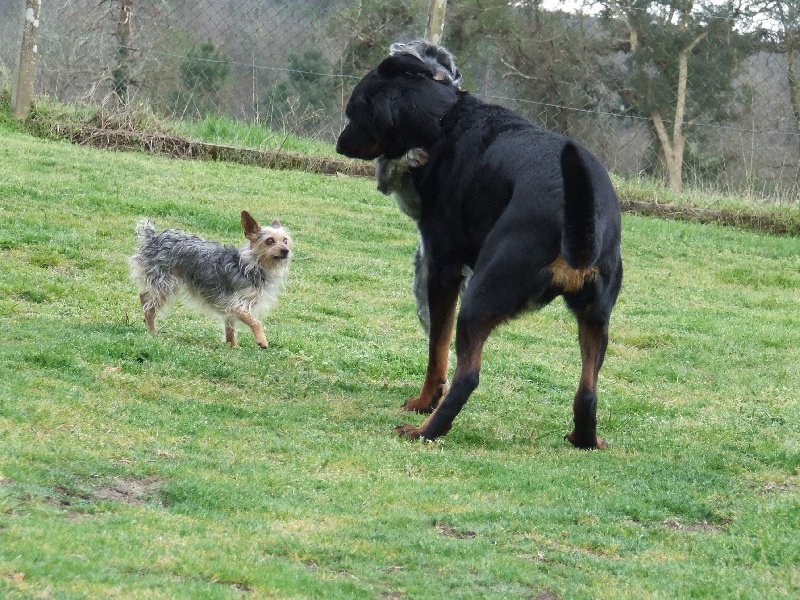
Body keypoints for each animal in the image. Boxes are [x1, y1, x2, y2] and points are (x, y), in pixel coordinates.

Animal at [130, 213, 292, 350]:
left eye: (285, 240)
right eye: (269, 241)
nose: (286, 251)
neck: (250, 265)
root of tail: (153, 238)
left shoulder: (230, 307)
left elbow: (230, 328)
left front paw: (233, 346)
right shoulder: (237, 304)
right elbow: (255, 321)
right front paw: (262, 340)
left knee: (144, 296)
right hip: (166, 284)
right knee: (148, 304)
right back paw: (152, 331)